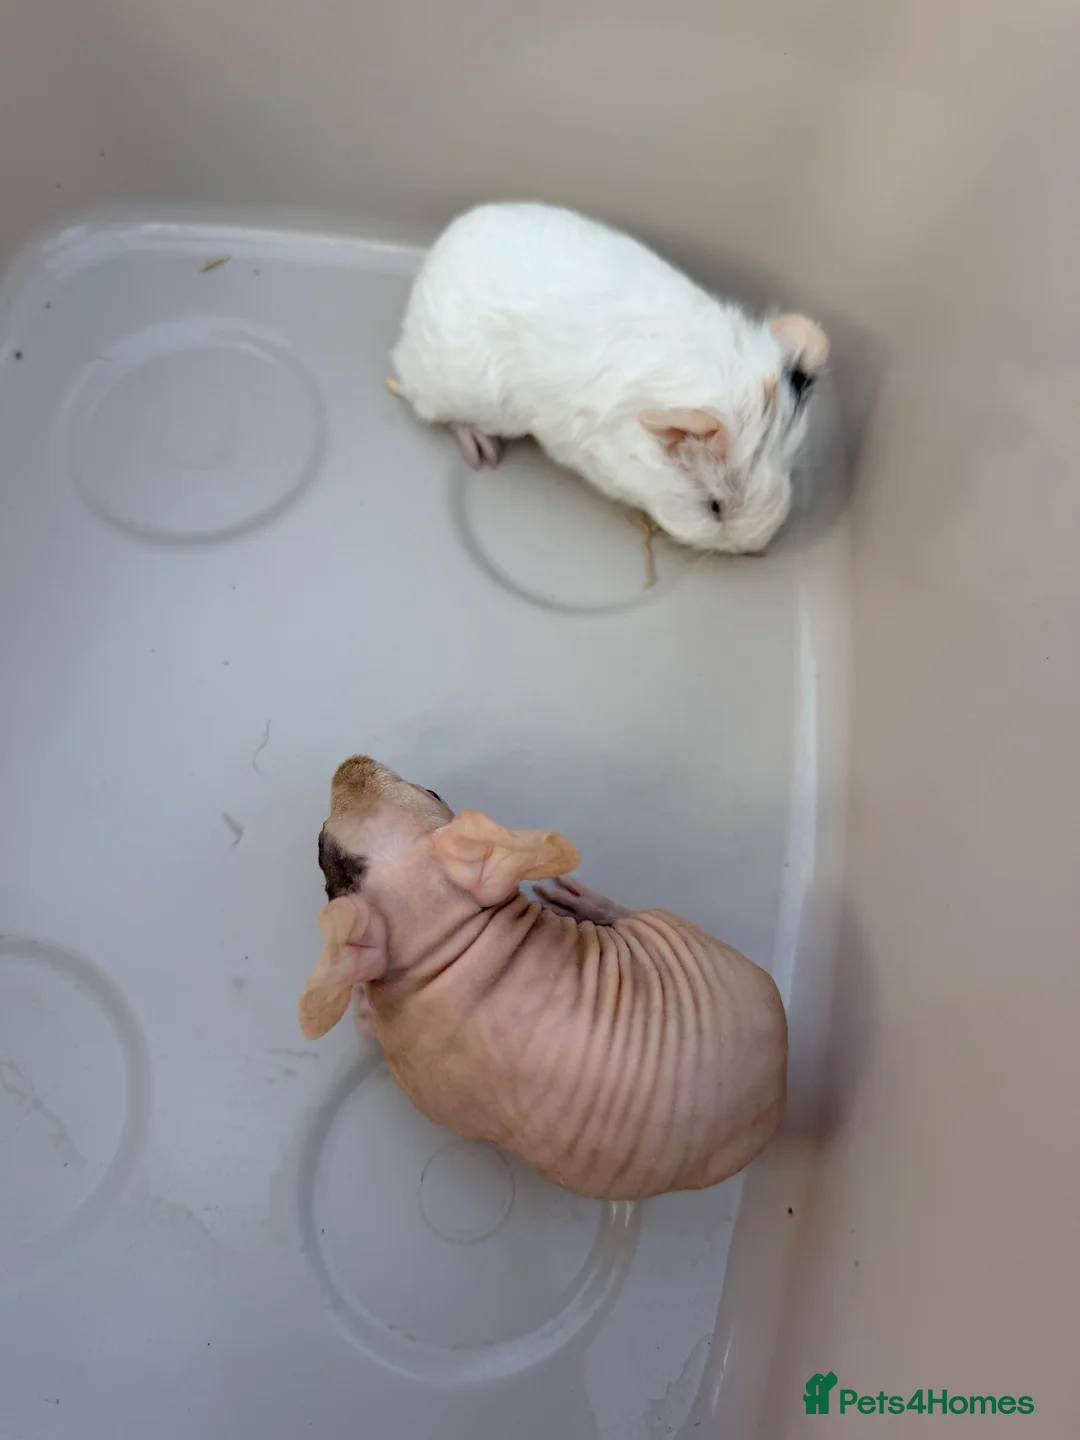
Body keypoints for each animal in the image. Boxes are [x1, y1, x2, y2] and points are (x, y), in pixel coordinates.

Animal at [298, 755, 788, 1202]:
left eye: (322, 856)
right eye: (433, 793)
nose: (351, 763)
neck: (453, 945)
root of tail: (780, 1085)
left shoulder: (419, 1075)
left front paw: (362, 1007)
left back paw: (596, 906)